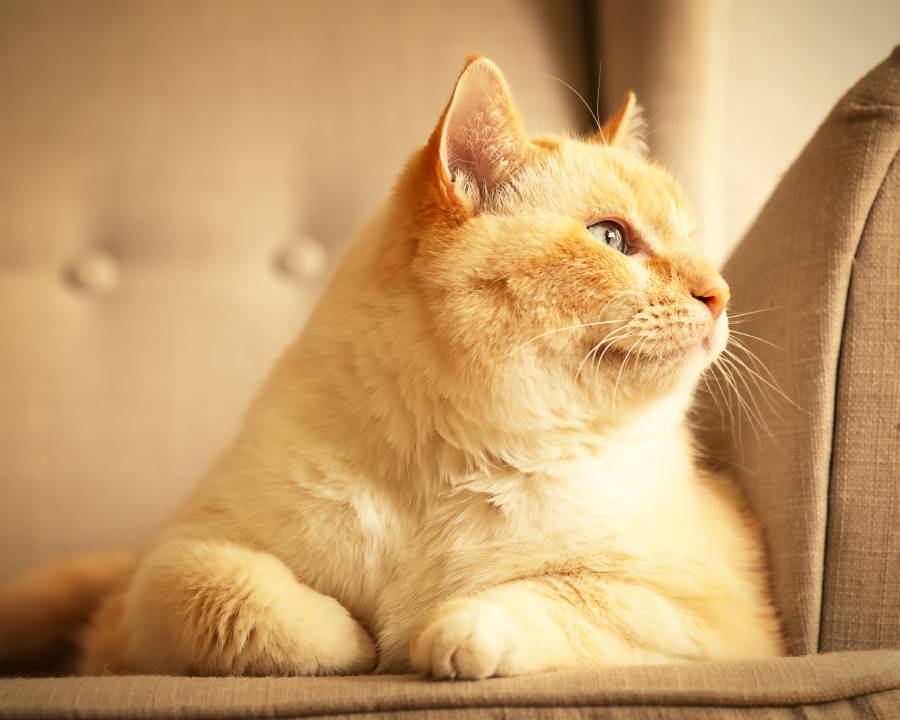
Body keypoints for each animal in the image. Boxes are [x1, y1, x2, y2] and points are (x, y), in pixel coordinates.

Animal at [0, 54, 780, 676]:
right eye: (612, 238)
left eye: (694, 242)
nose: (720, 294)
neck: (456, 459)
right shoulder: (165, 572)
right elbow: (241, 596)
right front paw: (359, 641)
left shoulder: (711, 614)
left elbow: (547, 599)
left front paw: (442, 636)